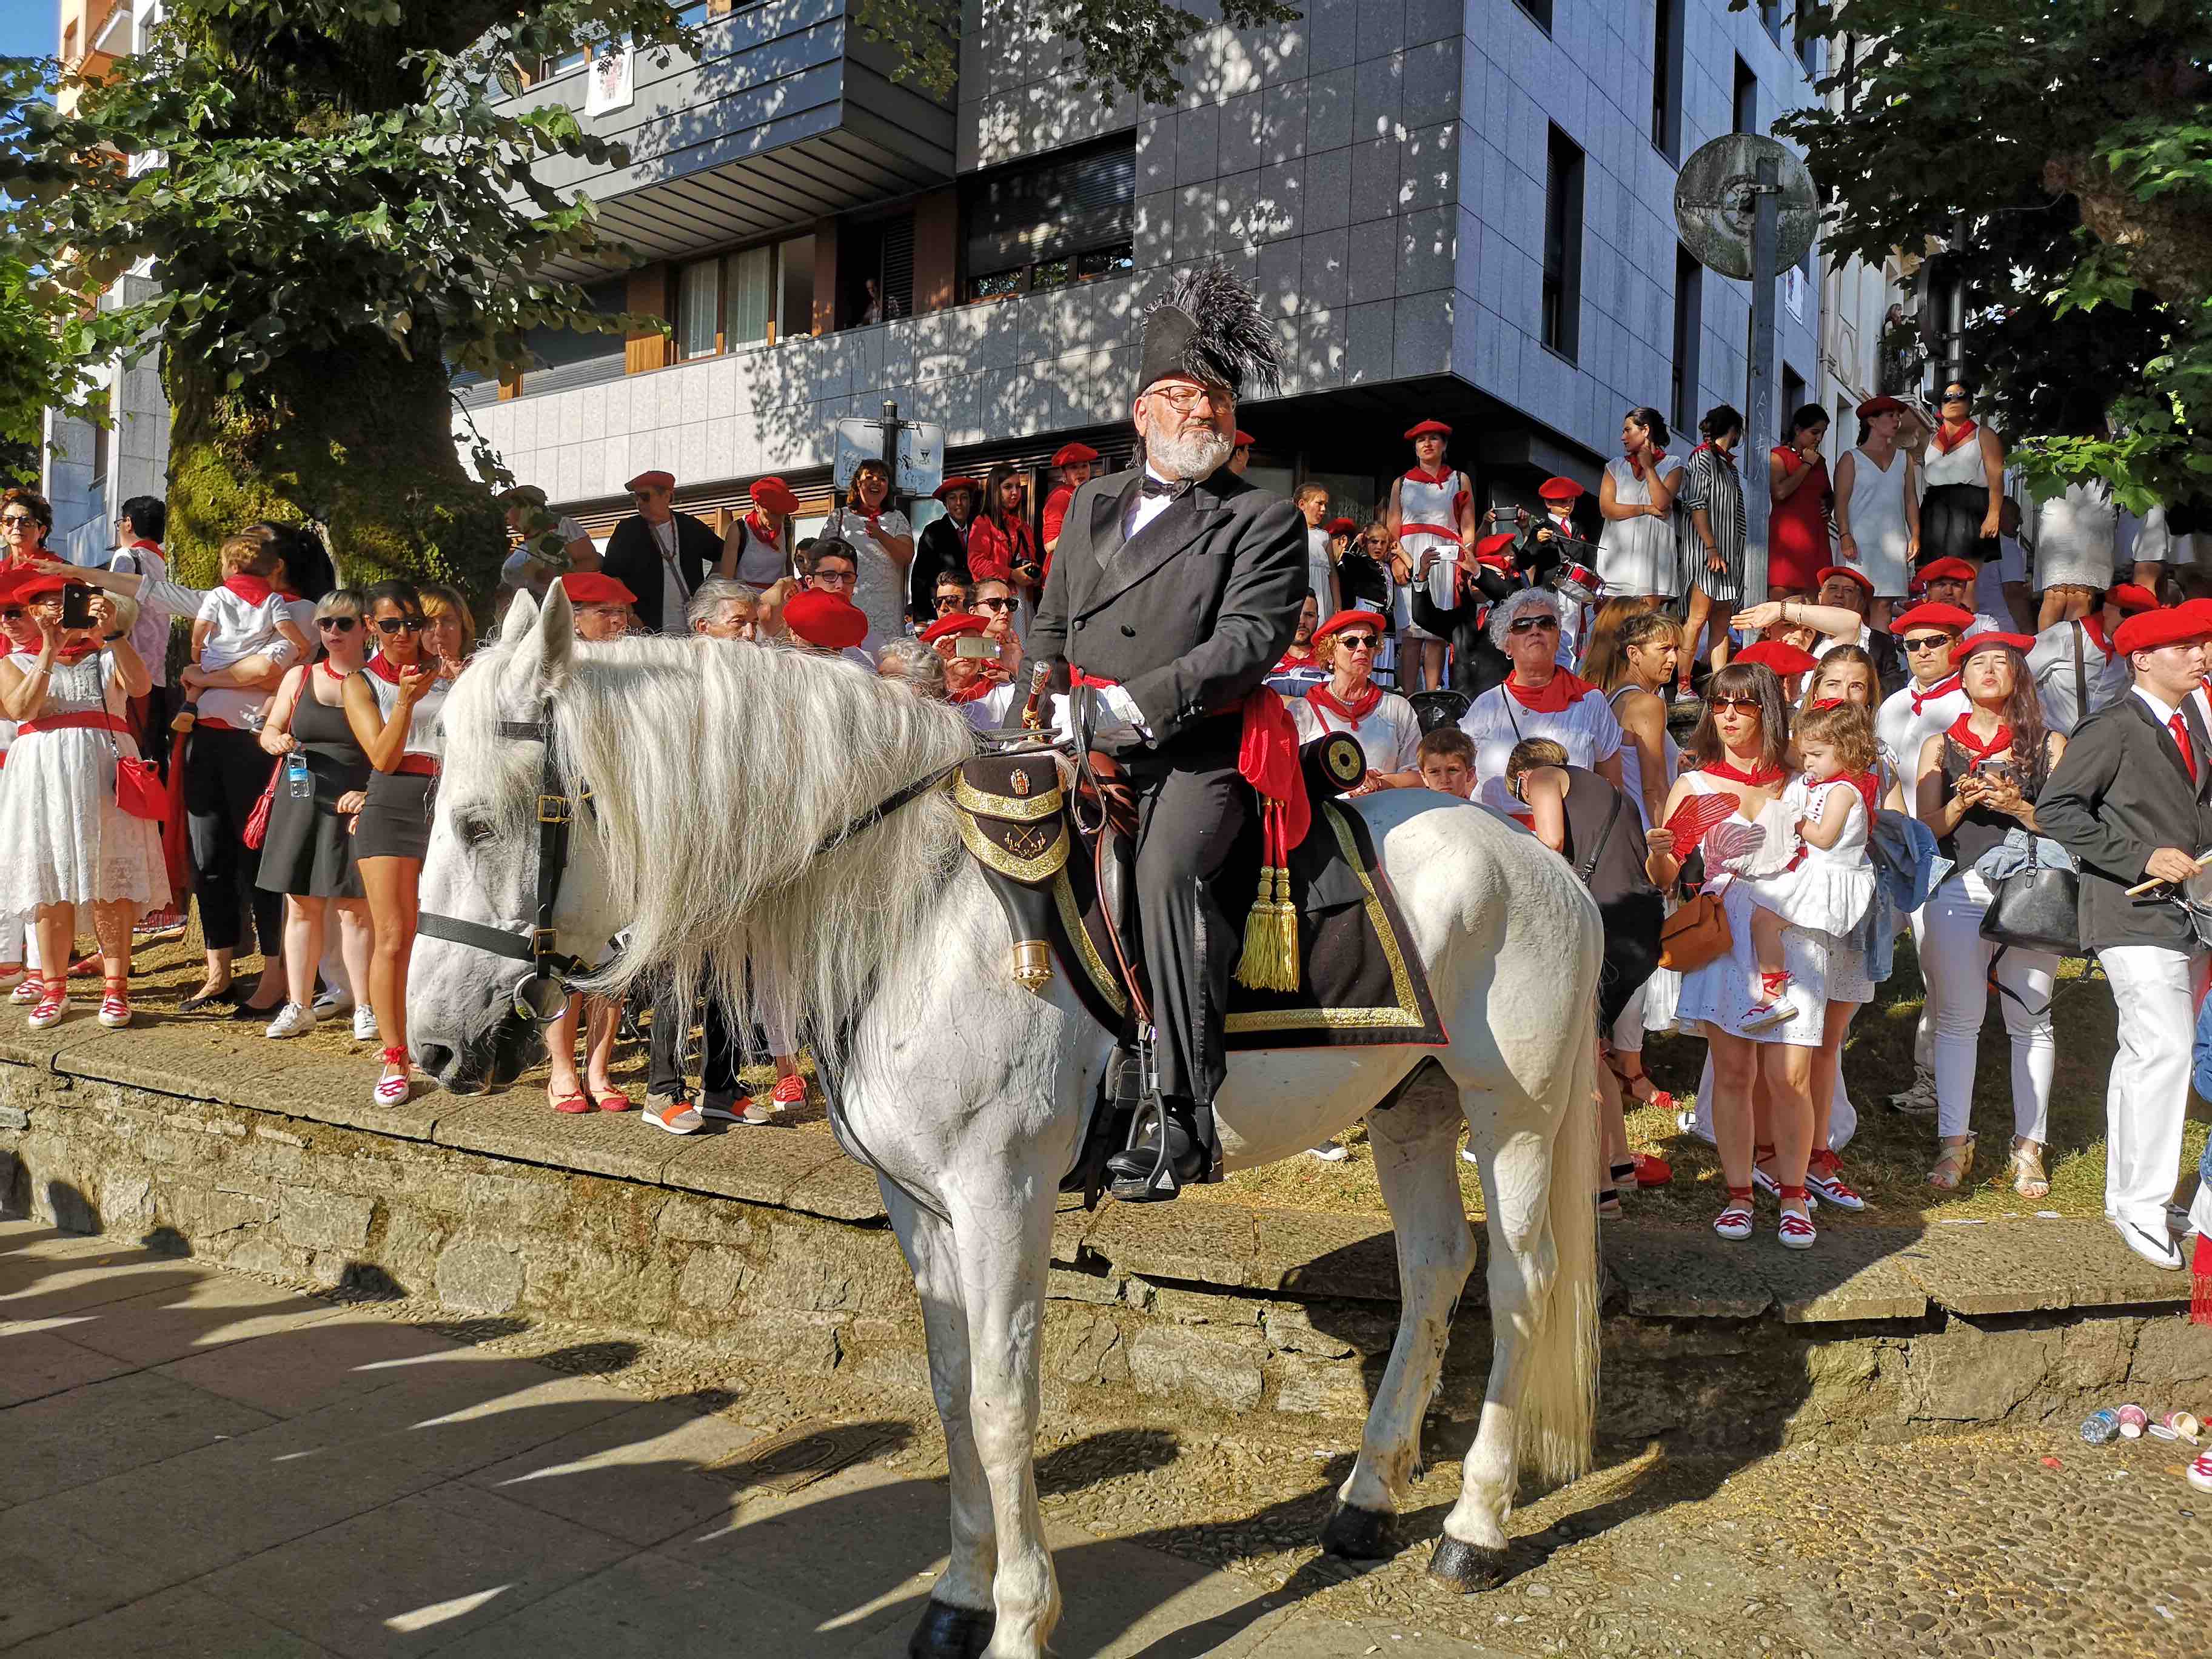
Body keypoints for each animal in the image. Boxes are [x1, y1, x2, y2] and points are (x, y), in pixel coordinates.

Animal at [407, 592, 1601, 1659]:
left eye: (477, 823)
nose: (427, 1049)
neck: (916, 913)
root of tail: (1536, 858)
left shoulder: (1001, 1195)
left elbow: (1000, 1400)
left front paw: (1021, 1622)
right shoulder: (918, 1203)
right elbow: (947, 1395)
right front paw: (956, 1597)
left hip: (1512, 1112)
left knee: (1518, 1286)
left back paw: (1474, 1528)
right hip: (1410, 1107)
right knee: (1434, 1270)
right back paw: (1364, 1500)